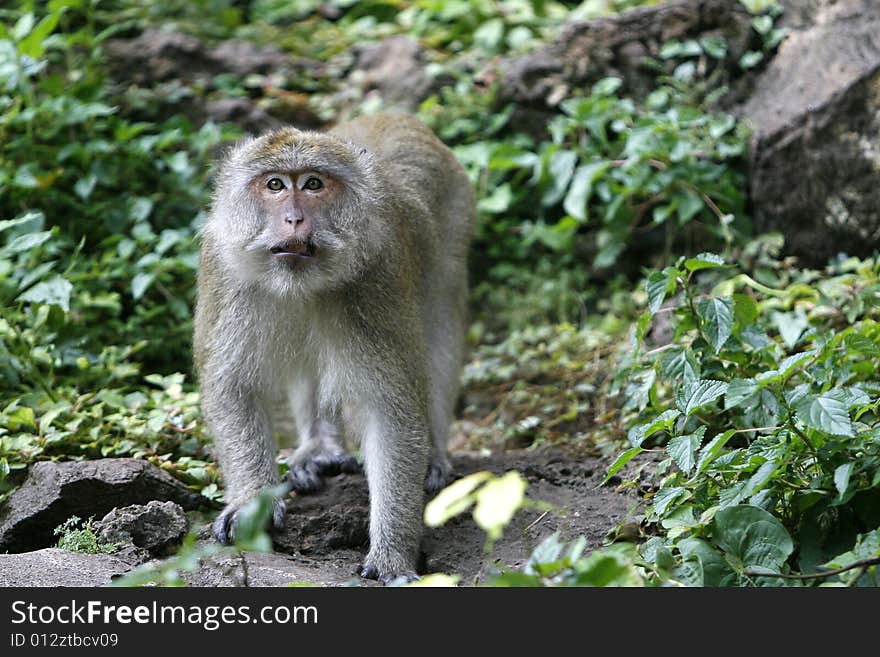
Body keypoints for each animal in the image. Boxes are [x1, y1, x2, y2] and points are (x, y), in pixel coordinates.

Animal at [194, 113, 474, 584]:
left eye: (312, 184)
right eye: (274, 185)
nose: (293, 219)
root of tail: (390, 116)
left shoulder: (378, 277)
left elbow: (392, 414)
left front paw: (392, 554)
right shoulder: (223, 267)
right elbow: (232, 386)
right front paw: (252, 503)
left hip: (455, 221)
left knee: (440, 327)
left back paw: (435, 453)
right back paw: (320, 446)